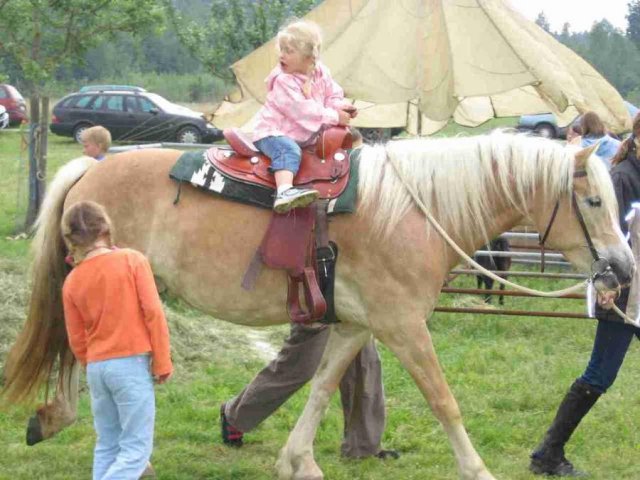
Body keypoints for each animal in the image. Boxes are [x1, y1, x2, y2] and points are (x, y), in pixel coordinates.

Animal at [3, 132, 636, 480]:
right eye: (593, 201)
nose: (623, 270)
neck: (415, 211)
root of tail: (92, 167)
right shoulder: (404, 326)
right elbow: (443, 399)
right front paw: (477, 469)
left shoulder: (356, 325)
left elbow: (323, 386)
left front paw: (297, 460)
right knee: (87, 357)